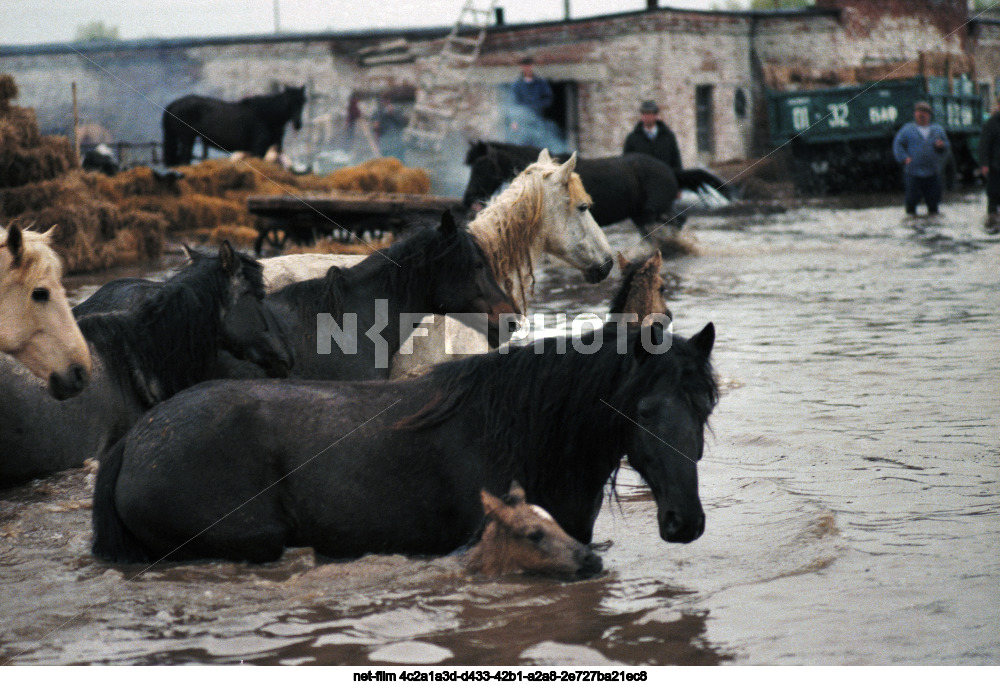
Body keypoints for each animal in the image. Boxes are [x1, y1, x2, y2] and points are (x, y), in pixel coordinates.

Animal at [162, 85, 304, 166]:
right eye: (289, 102)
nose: (298, 124)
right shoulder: (259, 148)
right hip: (187, 139)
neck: (266, 114)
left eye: (303, 101)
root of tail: (172, 105)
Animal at [464, 142, 732, 251]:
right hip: (640, 214)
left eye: (481, 167)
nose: (467, 200)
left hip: (651, 210)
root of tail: (671, 170)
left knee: (675, 223)